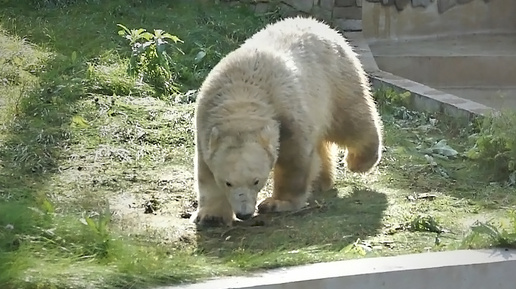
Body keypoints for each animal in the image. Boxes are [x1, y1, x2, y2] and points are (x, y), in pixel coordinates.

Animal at [191, 16, 380, 227]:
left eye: (256, 181)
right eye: (227, 182)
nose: (244, 214)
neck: (241, 99)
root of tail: (321, 25)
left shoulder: (286, 114)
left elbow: (293, 160)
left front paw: (276, 203)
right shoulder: (205, 121)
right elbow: (206, 172)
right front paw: (211, 216)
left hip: (336, 79)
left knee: (351, 122)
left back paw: (358, 161)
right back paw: (320, 181)